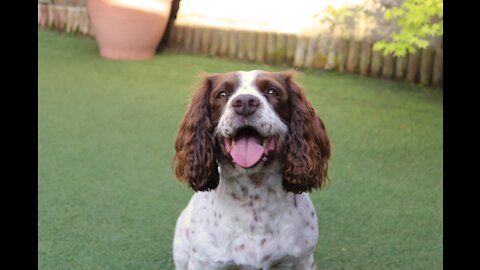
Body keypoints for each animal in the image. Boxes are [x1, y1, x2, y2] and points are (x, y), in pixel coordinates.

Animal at [172, 70, 330, 268]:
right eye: (222, 94)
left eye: (272, 91)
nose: (245, 102)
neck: (254, 197)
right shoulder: (205, 262)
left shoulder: (302, 260)